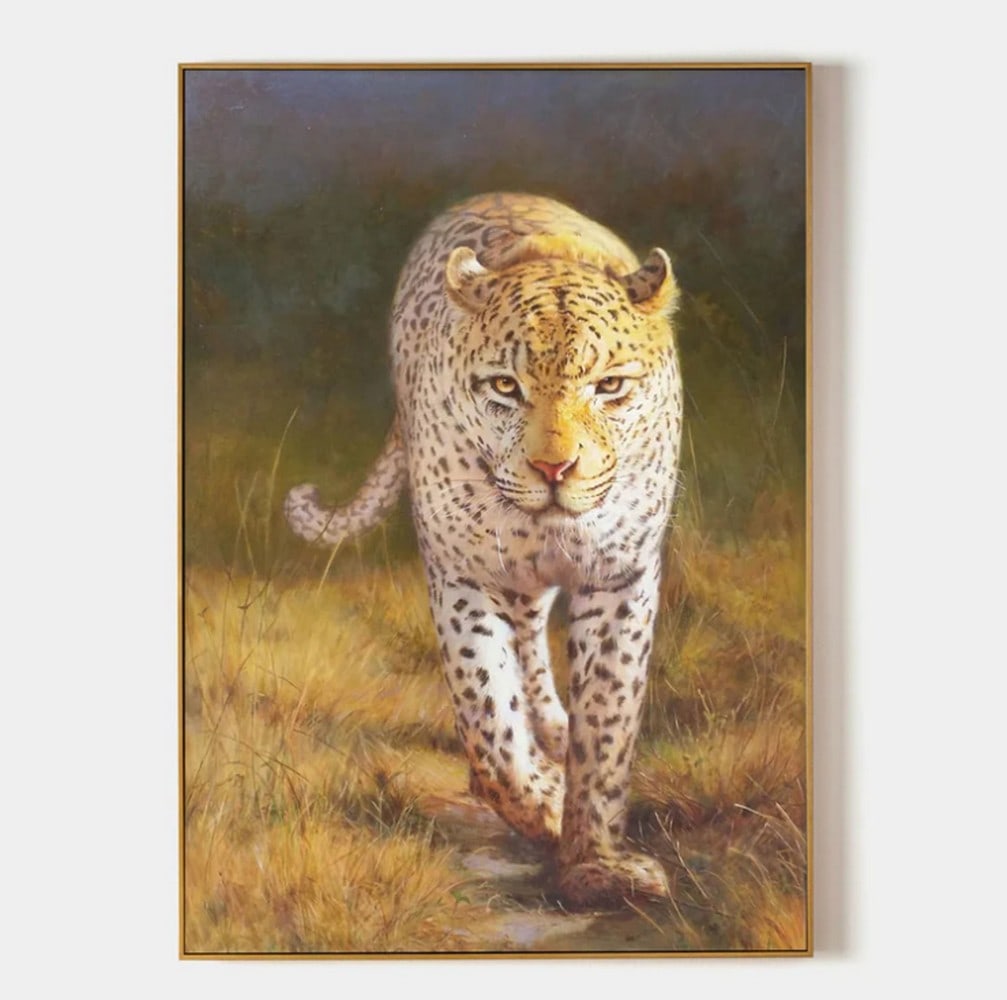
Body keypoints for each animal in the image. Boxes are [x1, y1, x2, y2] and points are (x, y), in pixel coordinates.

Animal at [285, 192, 683, 907]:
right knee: (520, 640)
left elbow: (609, 718)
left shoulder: (620, 576)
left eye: (610, 387)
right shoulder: (464, 570)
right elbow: (488, 713)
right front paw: (544, 804)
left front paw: (598, 863)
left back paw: (554, 725)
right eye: (504, 387)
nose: (556, 470)